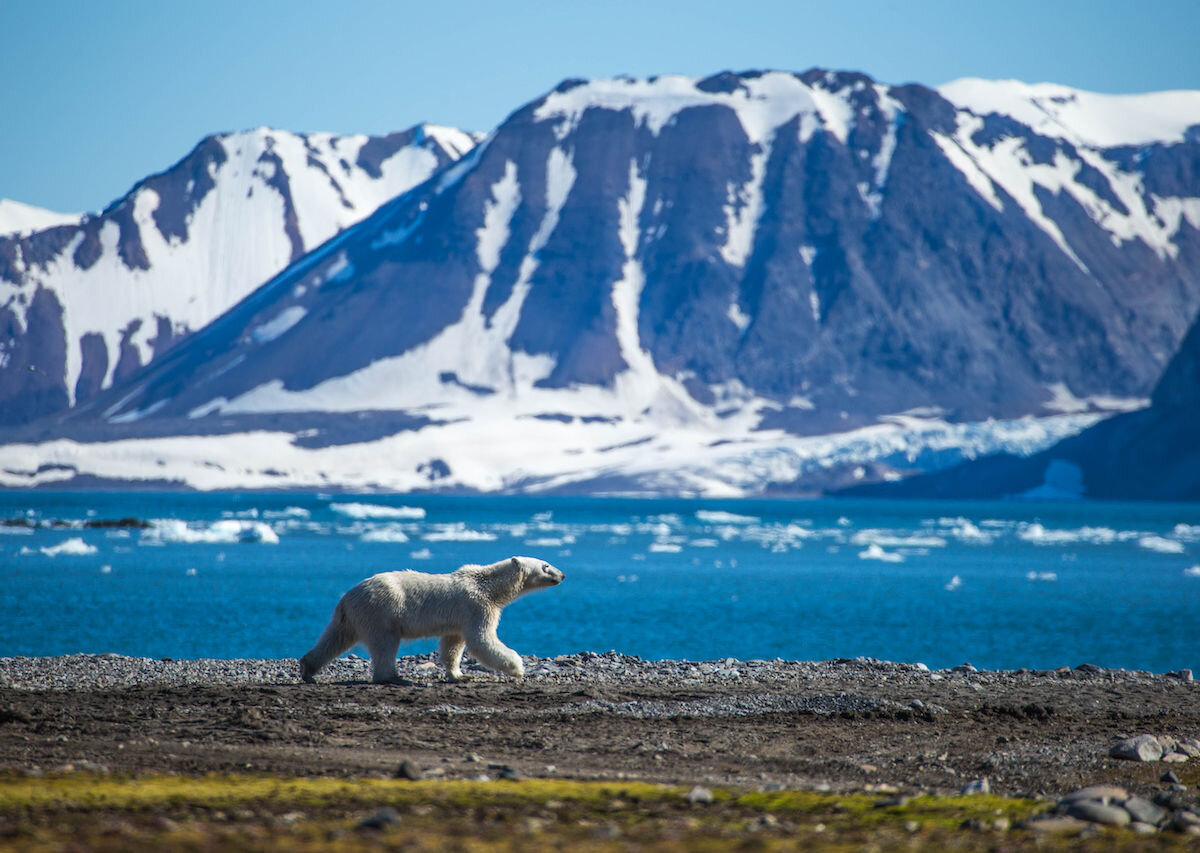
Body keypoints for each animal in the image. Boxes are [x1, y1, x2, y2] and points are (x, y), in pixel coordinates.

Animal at [300, 556, 561, 686]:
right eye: (546, 565)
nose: (562, 575)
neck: (488, 586)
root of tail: (346, 597)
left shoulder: (459, 618)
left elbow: (453, 644)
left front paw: (458, 674)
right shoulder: (477, 607)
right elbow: (482, 640)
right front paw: (518, 667)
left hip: (351, 617)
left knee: (334, 638)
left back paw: (308, 669)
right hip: (381, 611)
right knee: (385, 644)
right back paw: (394, 678)